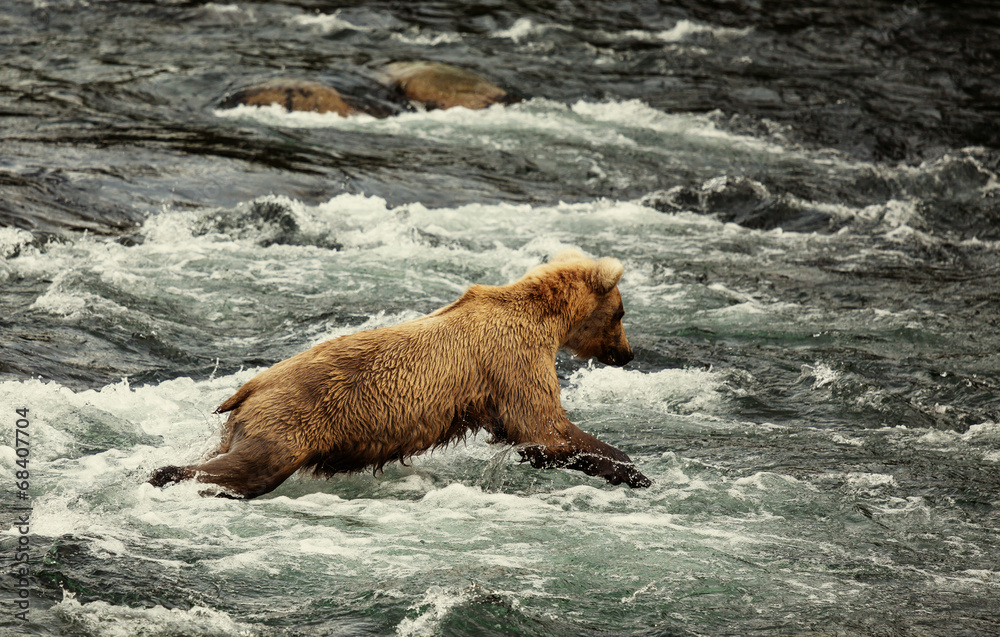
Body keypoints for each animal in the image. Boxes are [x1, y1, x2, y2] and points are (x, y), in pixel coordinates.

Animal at [149, 249, 651, 499]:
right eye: (622, 312)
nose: (628, 354)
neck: (545, 322)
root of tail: (250, 386)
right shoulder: (512, 361)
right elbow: (544, 430)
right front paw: (633, 471)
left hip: (250, 423)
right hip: (293, 421)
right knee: (250, 468)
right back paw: (167, 475)